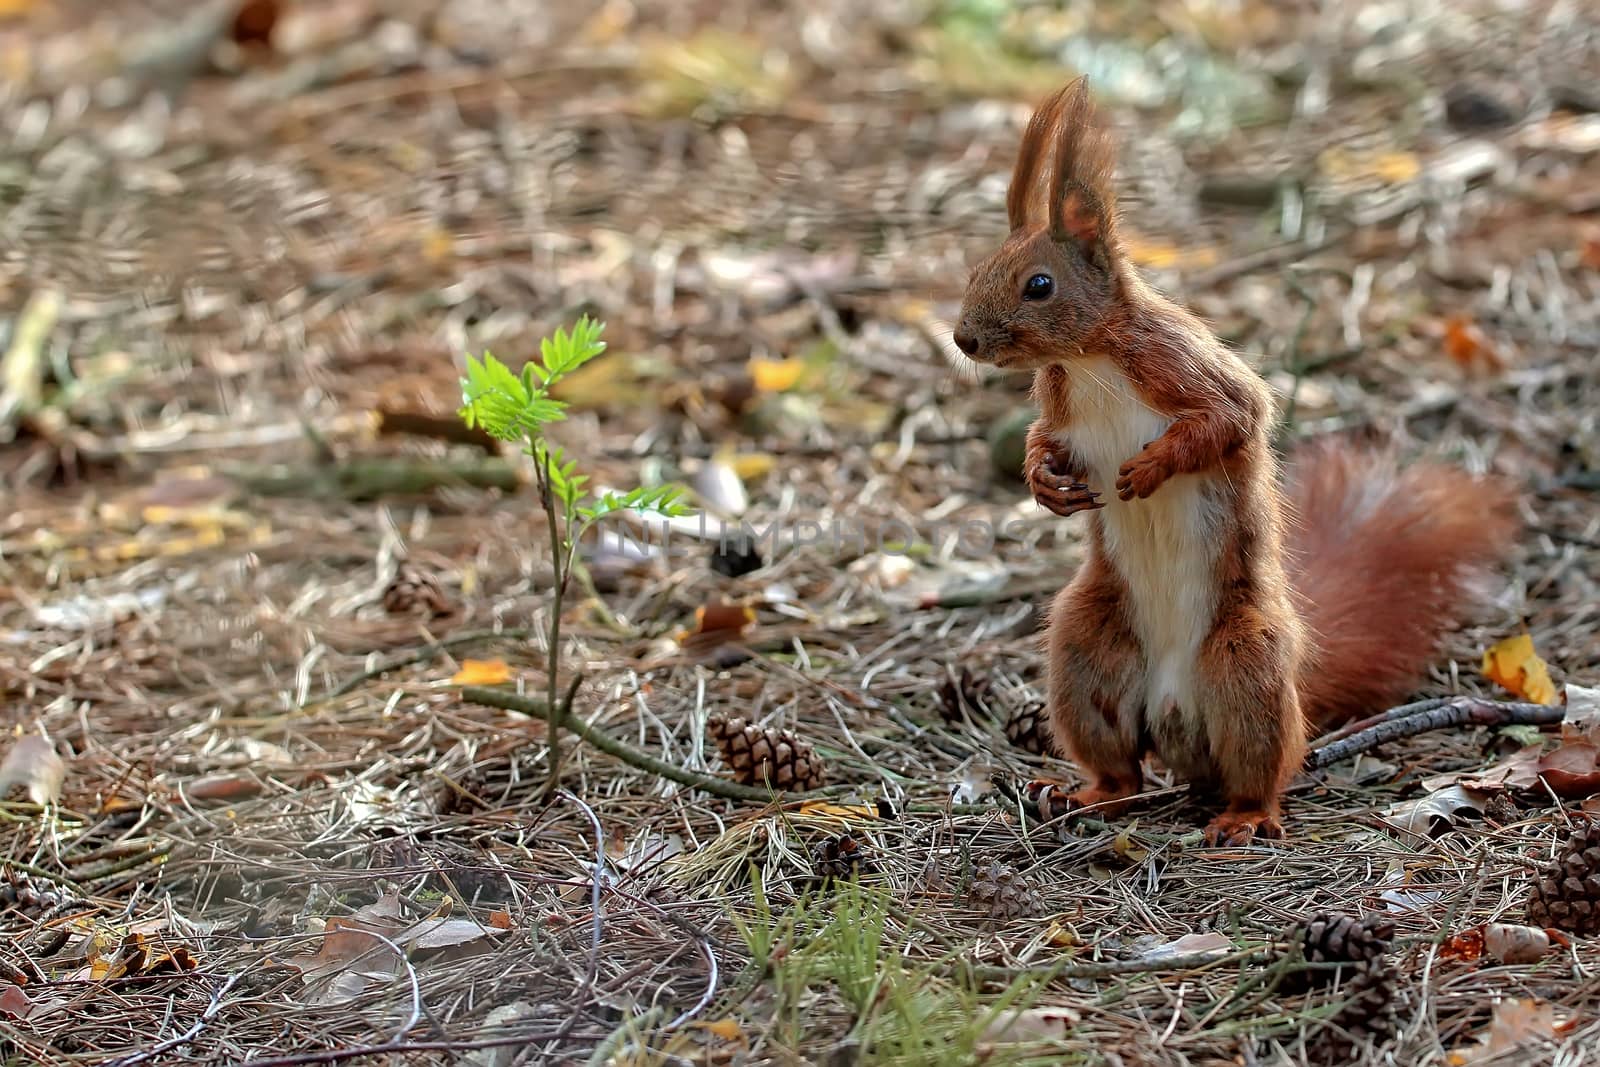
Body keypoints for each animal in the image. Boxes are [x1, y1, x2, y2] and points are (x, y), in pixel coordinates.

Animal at [953, 79, 1516, 844]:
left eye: (1039, 285)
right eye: (976, 270)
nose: (964, 339)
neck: (1090, 359)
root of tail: (1172, 715)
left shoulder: (1182, 365)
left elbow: (1232, 417)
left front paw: (1152, 467)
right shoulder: (1060, 405)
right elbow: (1047, 441)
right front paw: (1046, 483)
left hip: (1244, 666)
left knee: (1260, 767)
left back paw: (1243, 818)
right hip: (1087, 650)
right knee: (1121, 764)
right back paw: (1086, 793)